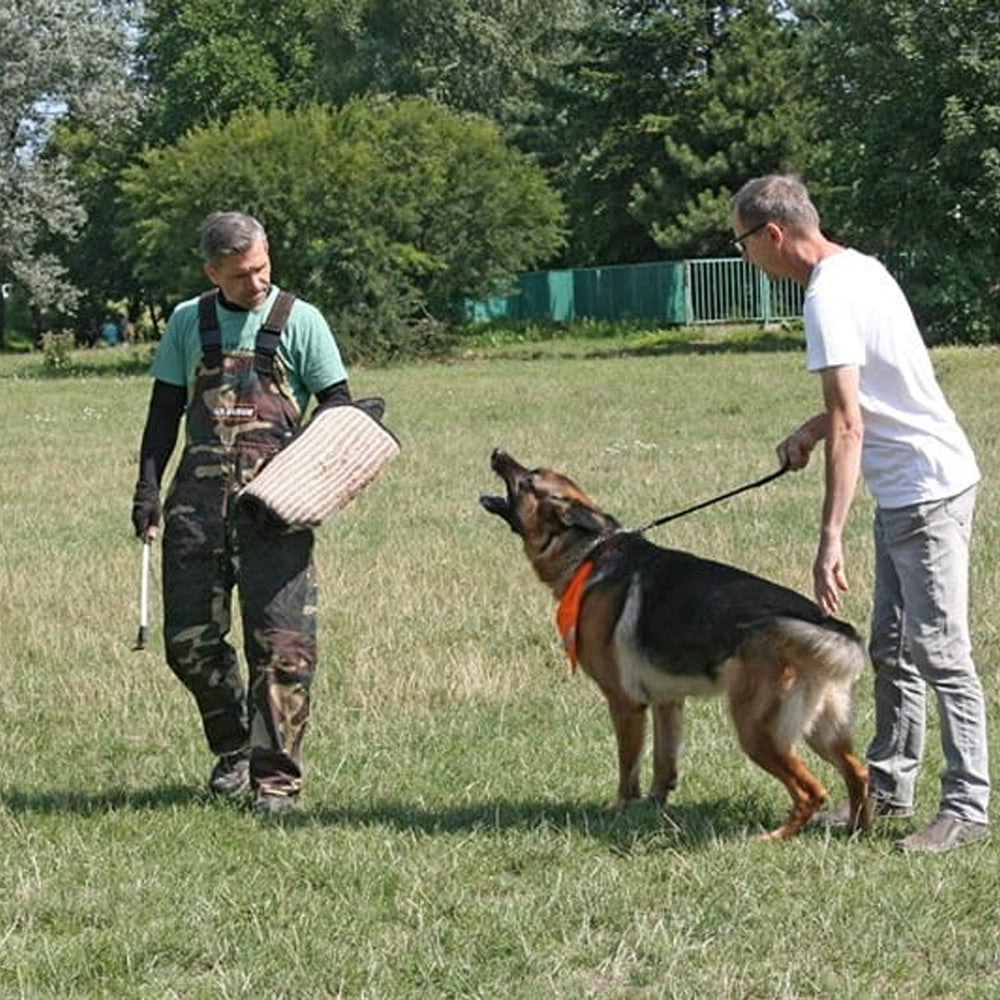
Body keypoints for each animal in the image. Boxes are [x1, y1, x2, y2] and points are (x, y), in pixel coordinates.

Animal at [480, 450, 872, 840]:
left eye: (528, 479)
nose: (498, 452)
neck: (588, 552)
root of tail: (829, 625)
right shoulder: (667, 702)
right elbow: (662, 762)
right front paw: (654, 804)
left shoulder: (625, 704)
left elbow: (628, 766)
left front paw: (620, 809)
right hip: (820, 730)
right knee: (858, 771)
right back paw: (857, 828)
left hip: (757, 730)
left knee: (812, 790)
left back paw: (774, 836)